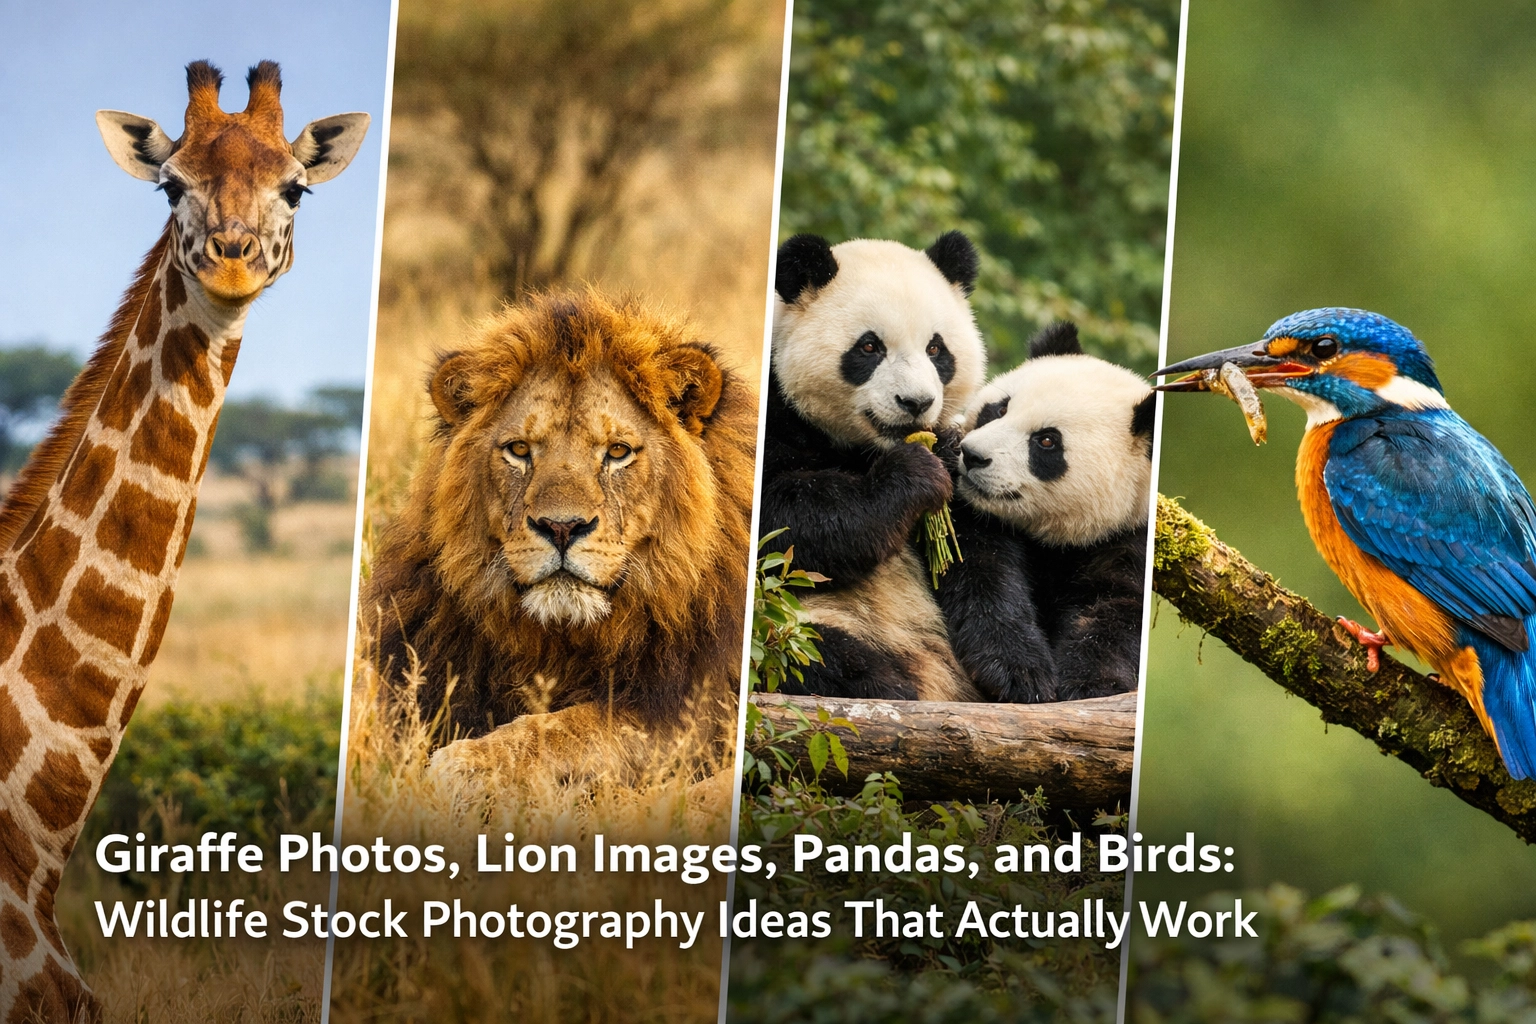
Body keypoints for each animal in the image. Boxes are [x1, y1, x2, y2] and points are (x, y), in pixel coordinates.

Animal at [364, 290, 757, 781]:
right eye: (518, 449)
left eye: (618, 451)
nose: (562, 527)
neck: (559, 638)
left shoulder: (692, 716)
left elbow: (565, 730)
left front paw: (464, 764)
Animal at [761, 231, 989, 701]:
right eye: (870, 347)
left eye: (936, 349)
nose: (916, 403)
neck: (867, 448)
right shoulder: (777, 410)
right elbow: (784, 519)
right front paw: (916, 474)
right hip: (799, 623)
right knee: (810, 657)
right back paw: (887, 685)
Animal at [937, 322, 1155, 702]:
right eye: (999, 409)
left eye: (1047, 441)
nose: (972, 455)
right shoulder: (971, 510)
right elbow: (979, 569)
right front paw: (1018, 672)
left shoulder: (1130, 536)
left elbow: (1119, 610)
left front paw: (1088, 684)